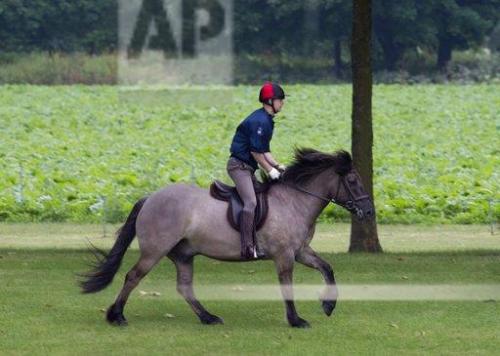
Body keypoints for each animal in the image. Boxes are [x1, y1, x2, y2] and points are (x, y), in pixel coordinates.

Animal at [79, 147, 376, 328]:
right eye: (352, 180)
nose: (369, 211)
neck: (294, 201)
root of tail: (150, 198)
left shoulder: (300, 250)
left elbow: (327, 268)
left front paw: (328, 305)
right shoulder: (284, 256)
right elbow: (287, 286)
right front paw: (296, 320)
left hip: (183, 254)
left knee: (184, 287)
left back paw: (208, 317)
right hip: (155, 250)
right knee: (133, 277)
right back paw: (117, 316)